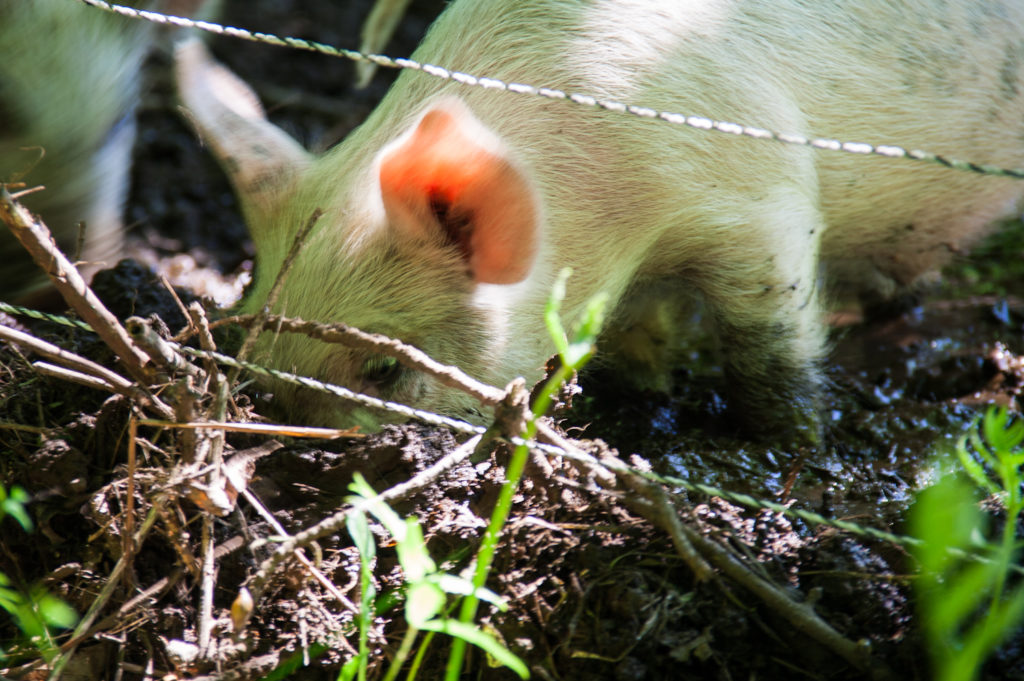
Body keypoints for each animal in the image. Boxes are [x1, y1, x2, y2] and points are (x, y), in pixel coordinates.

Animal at [176, 0, 1024, 437]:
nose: (300, 458)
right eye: (250, 347)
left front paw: (789, 442)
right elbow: (637, 334)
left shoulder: (762, 198)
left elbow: (770, 337)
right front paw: (643, 396)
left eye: (384, 369)